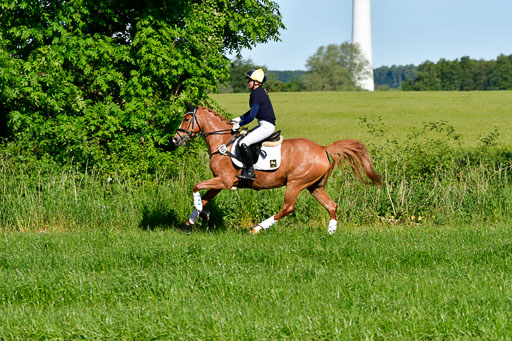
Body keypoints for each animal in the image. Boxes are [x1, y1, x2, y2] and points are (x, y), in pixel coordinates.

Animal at [173, 101, 384, 234]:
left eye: (186, 119)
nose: (175, 139)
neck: (222, 143)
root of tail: (323, 148)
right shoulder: (220, 183)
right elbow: (204, 197)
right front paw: (189, 223)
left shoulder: (224, 181)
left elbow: (196, 187)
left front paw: (202, 213)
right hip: (315, 186)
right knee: (331, 205)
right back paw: (331, 231)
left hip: (296, 183)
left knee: (288, 208)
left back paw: (257, 228)